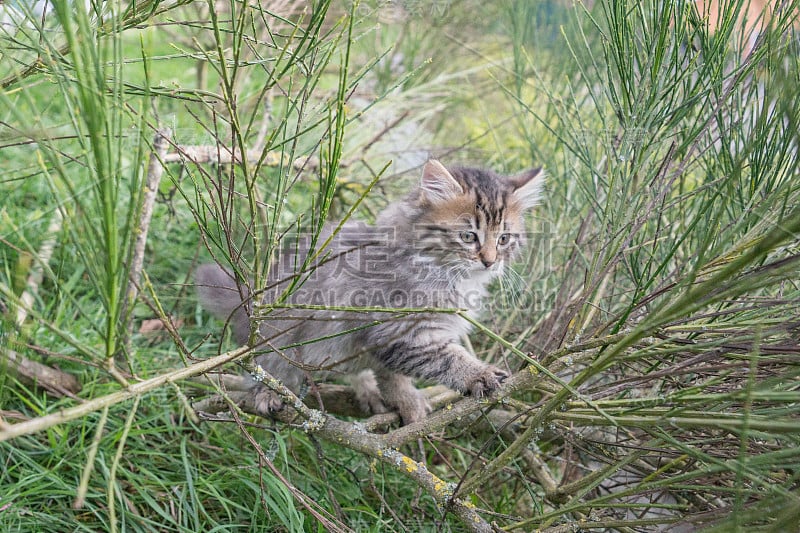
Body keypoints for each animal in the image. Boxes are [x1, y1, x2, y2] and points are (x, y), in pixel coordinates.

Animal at [195, 159, 544, 424]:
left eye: (504, 239)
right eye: (468, 236)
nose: (490, 261)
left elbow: (392, 374)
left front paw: (405, 400)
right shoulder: (398, 332)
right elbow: (443, 360)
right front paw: (477, 376)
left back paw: (365, 389)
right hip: (274, 342)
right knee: (263, 371)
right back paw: (268, 392)